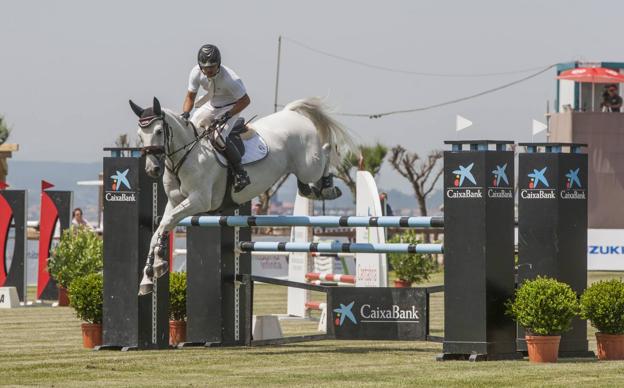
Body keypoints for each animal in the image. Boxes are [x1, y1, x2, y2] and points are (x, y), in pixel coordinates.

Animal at [129, 97, 354, 294]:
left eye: (159, 131)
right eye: (140, 135)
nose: (152, 170)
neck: (187, 155)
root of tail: (290, 112)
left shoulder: (200, 200)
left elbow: (167, 223)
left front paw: (155, 265)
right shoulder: (175, 202)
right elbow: (162, 226)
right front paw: (151, 273)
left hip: (310, 165)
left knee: (326, 150)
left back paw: (328, 187)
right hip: (303, 168)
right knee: (307, 180)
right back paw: (311, 189)